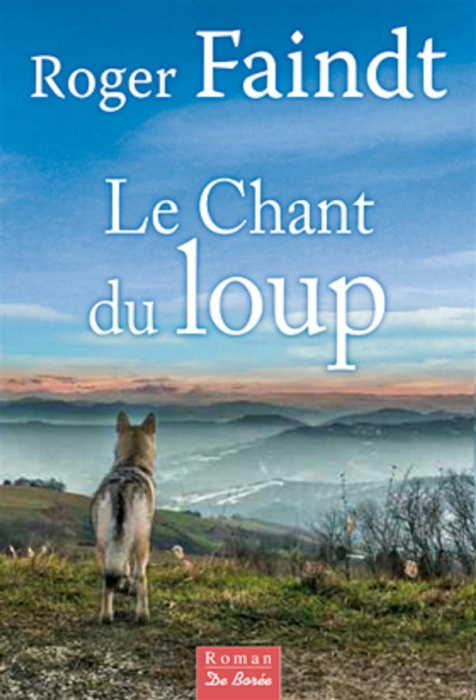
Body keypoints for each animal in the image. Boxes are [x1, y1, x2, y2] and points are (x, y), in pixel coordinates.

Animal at [91, 411, 156, 623]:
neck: (131, 461)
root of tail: (121, 489)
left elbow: (123, 563)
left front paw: (123, 583)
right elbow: (135, 571)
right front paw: (129, 587)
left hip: (101, 543)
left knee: (106, 580)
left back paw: (105, 616)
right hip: (143, 543)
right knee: (142, 577)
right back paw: (143, 616)